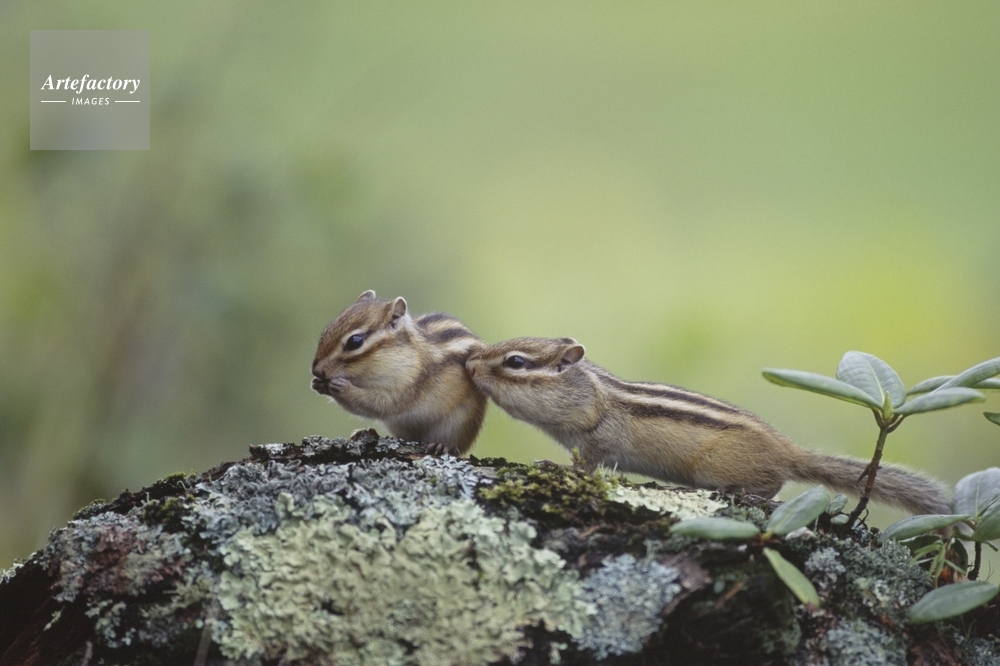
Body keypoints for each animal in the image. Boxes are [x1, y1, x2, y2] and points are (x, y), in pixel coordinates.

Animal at [311, 290, 487, 456]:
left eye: (355, 341)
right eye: (325, 332)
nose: (316, 370)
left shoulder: (407, 384)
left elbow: (381, 404)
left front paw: (343, 388)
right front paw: (318, 384)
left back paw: (443, 446)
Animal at [465, 336, 950, 515]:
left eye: (515, 362)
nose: (469, 366)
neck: (596, 394)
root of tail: (788, 449)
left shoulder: (600, 438)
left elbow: (586, 465)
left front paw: (555, 468)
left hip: (719, 466)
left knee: (772, 485)